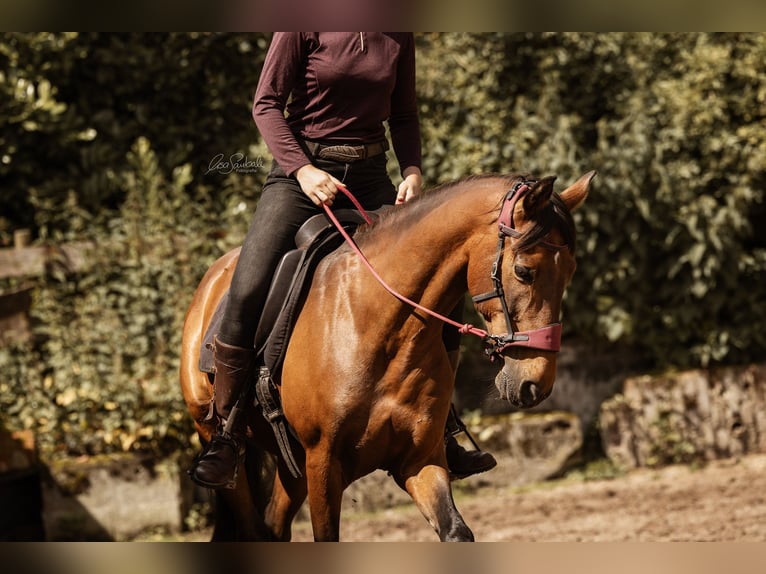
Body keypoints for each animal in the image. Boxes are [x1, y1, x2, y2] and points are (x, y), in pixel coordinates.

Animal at [179, 170, 594, 541]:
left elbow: (456, 532)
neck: (379, 328)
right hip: (221, 441)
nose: (534, 384)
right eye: (524, 271)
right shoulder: (322, 464)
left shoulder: (420, 460)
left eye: (570, 273)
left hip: (289, 463)